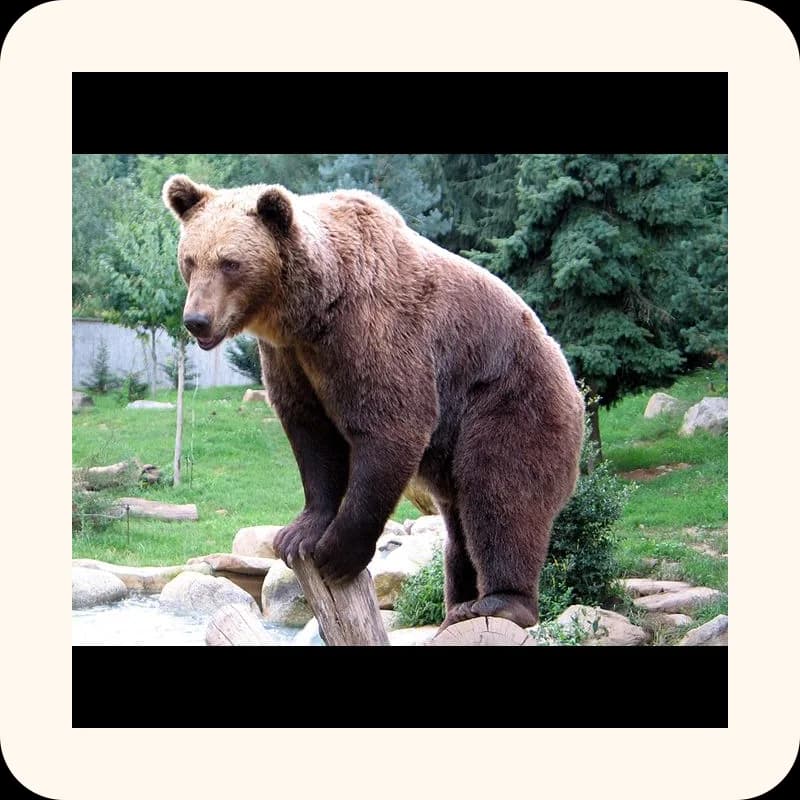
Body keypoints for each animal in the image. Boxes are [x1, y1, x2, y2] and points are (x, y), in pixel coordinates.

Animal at [163, 174, 585, 630]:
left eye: (230, 262)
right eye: (190, 260)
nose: (196, 320)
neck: (311, 311)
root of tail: (573, 385)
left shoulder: (373, 332)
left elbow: (392, 425)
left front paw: (337, 553)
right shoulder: (291, 358)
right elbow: (312, 436)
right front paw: (298, 535)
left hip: (508, 402)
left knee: (500, 492)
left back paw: (500, 602)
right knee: (458, 523)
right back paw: (458, 606)